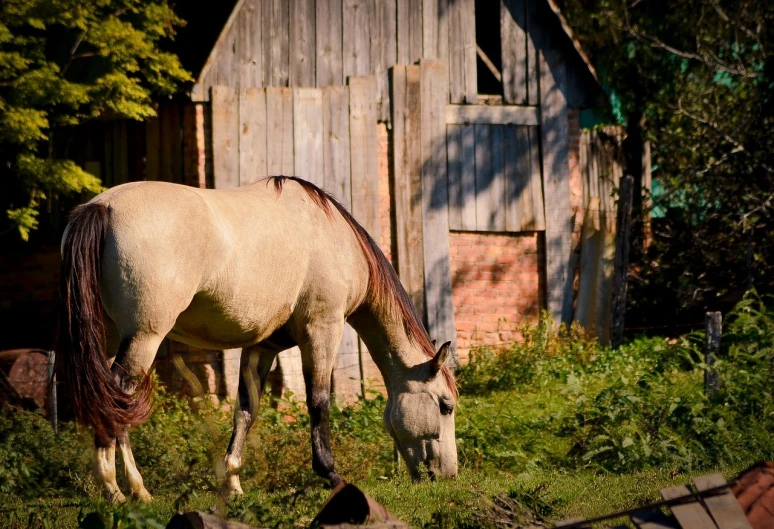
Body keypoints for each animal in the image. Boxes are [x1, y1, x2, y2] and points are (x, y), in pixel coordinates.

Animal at [59, 175, 460, 502]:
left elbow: (245, 410)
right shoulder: (322, 329)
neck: (331, 236)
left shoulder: (261, 347)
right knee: (117, 399)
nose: (448, 475)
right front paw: (331, 475)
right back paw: (121, 489)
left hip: (114, 338)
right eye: (446, 405)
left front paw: (232, 483)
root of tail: (102, 208)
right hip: (144, 338)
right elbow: (319, 402)